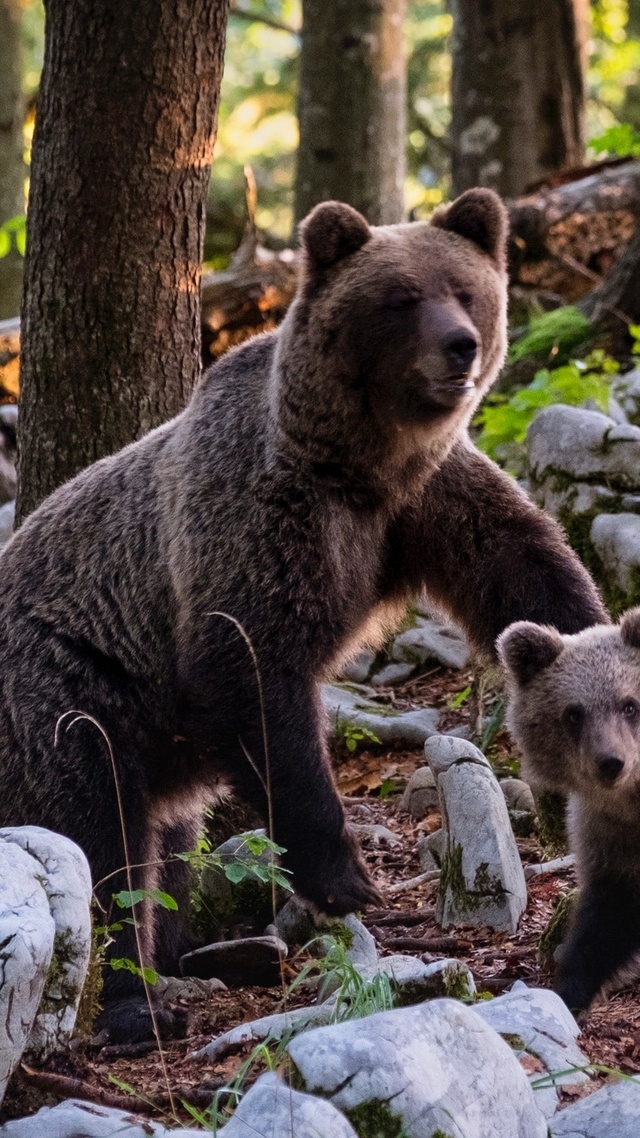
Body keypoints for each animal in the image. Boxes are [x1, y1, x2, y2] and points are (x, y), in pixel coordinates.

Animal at [0, 188, 605, 1042]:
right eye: (400, 298)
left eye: (465, 288)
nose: (461, 346)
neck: (361, 465)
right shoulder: (258, 522)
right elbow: (255, 675)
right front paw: (344, 876)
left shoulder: (426, 501)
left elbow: (524, 568)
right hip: (74, 690)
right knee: (100, 841)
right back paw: (137, 1000)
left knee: (168, 842)